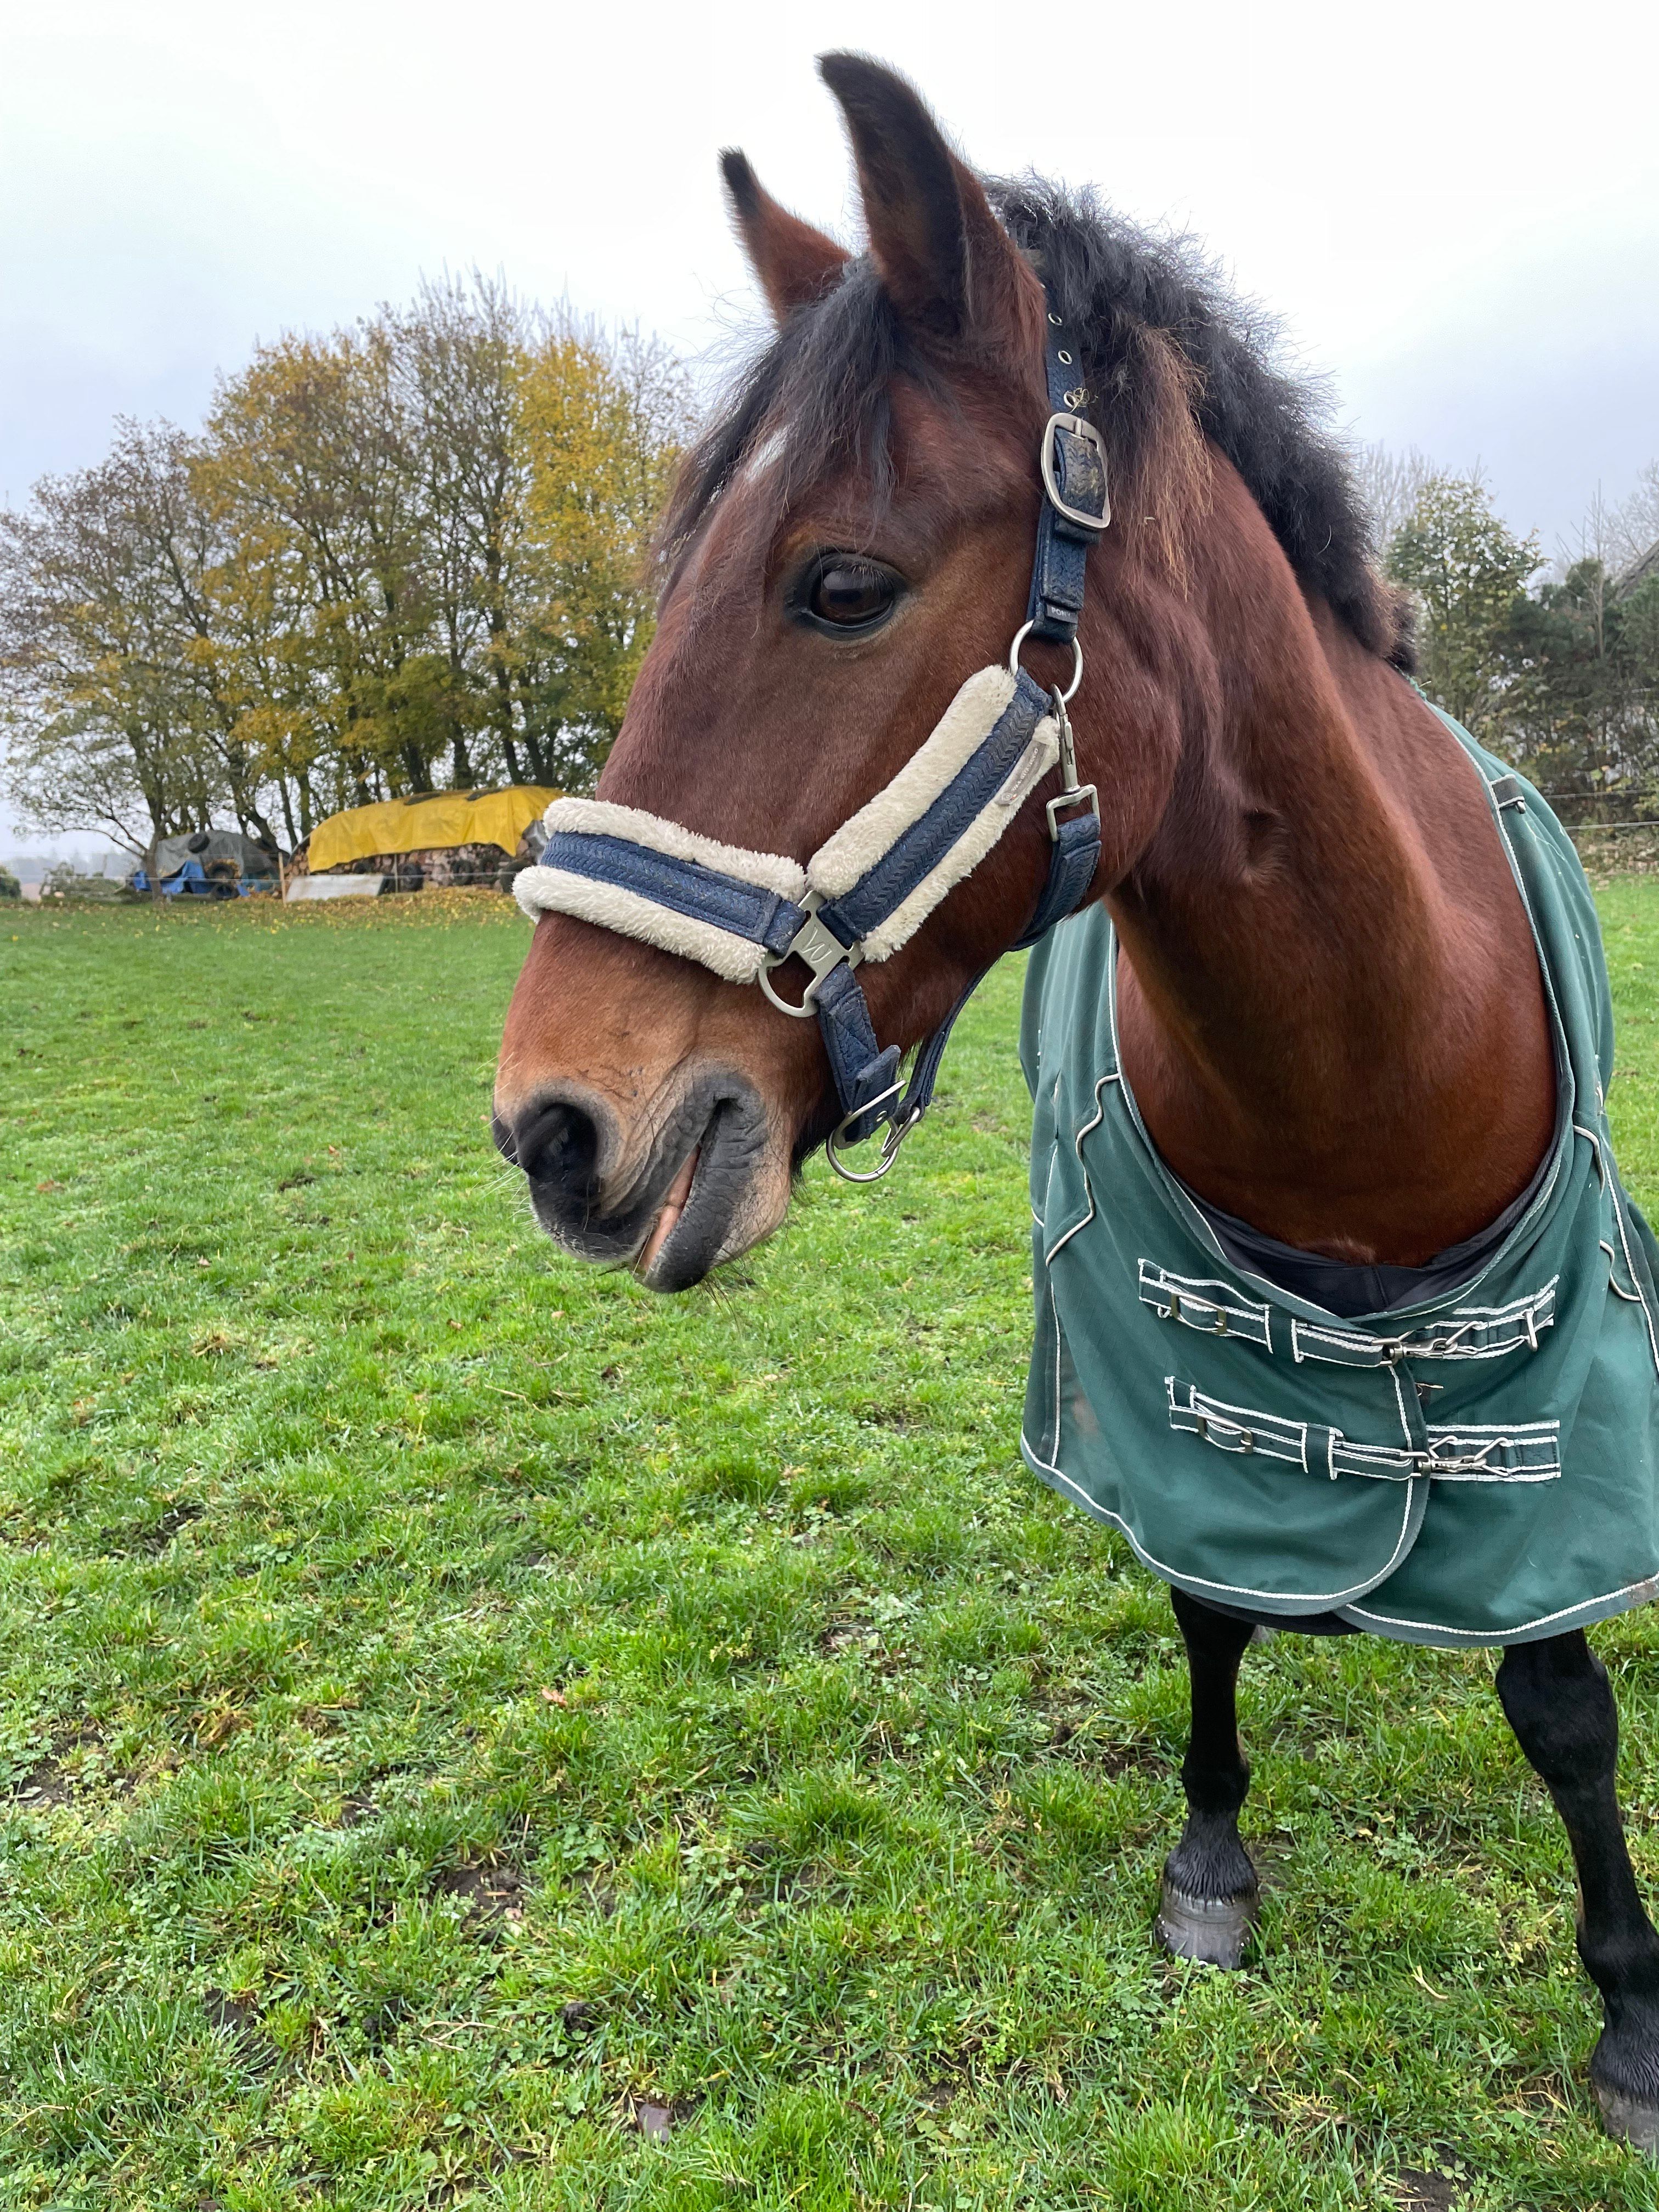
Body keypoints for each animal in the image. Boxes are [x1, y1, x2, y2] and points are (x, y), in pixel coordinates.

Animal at [493, 54, 1659, 2149]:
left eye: (841, 583)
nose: (554, 1127)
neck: (1371, 1059)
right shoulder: (1168, 1383)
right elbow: (1209, 1604)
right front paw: (1210, 1865)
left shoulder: (1558, 1392)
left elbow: (1562, 1707)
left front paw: (1628, 2015)